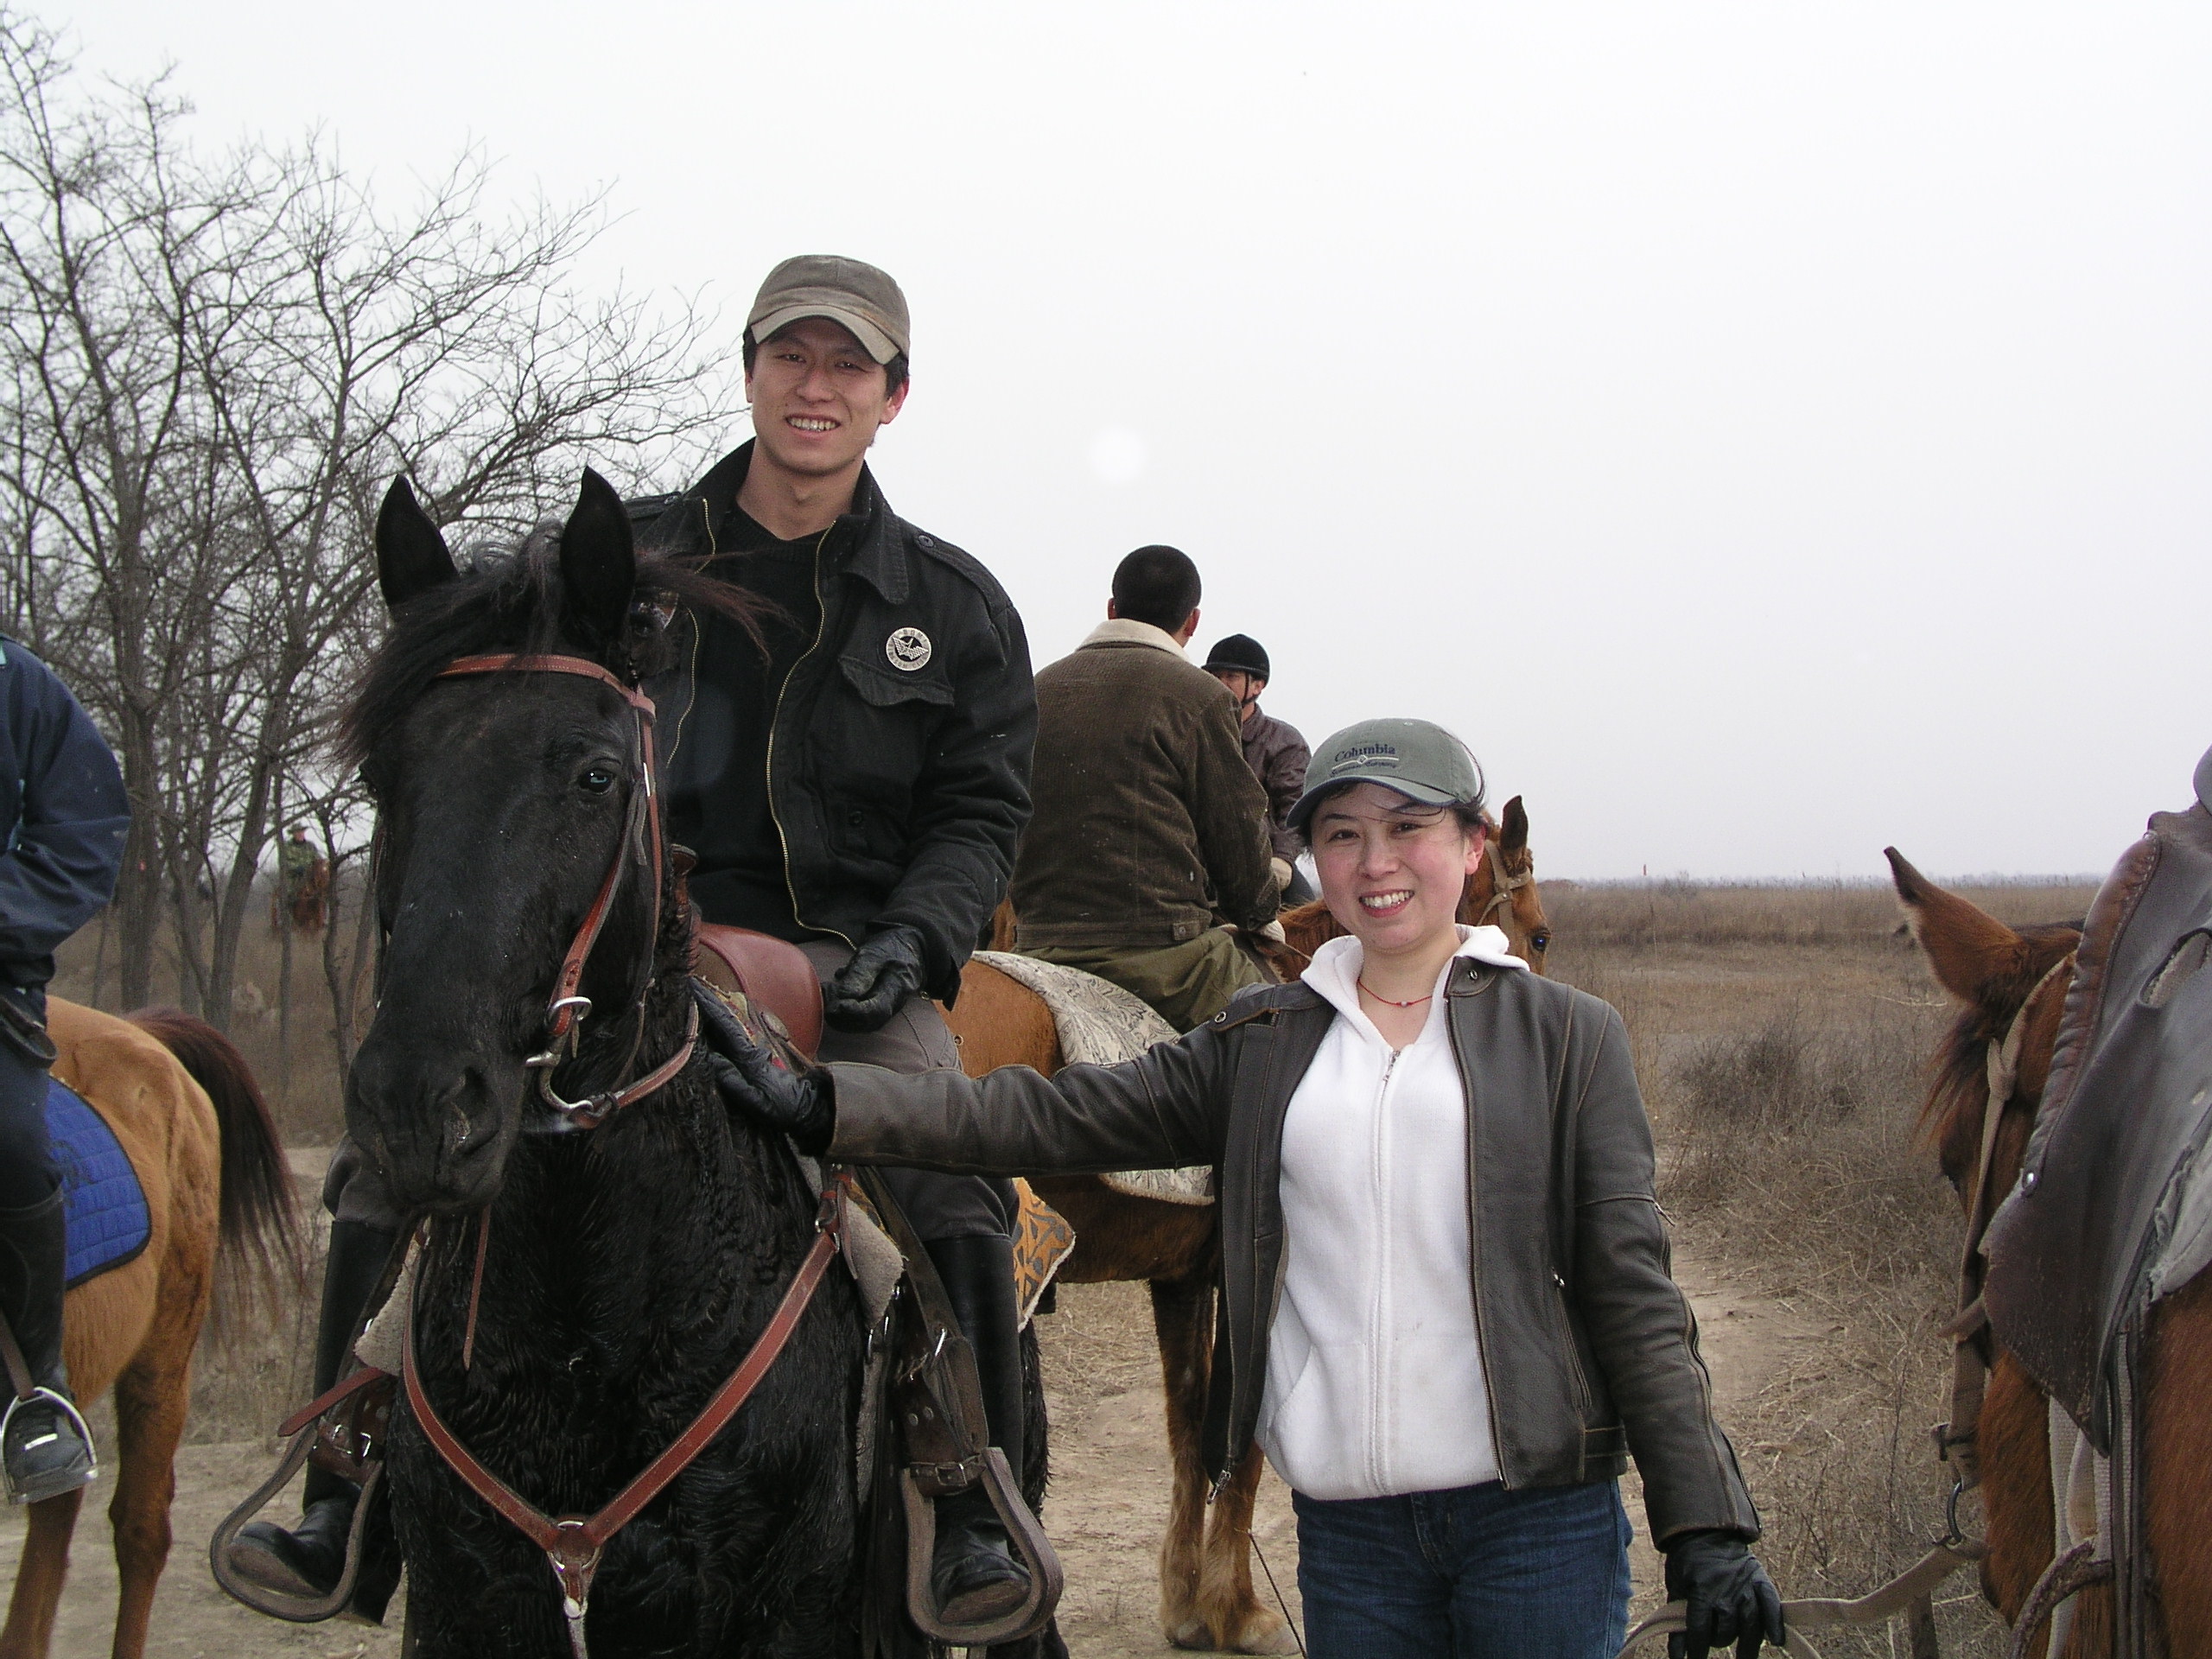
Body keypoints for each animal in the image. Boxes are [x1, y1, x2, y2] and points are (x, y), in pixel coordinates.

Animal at [349, 473, 1057, 1654]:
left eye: (595, 776)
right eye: (380, 771)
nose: (416, 1111)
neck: (589, 1329)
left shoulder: (785, 1612)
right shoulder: (462, 1605)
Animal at [942, 800, 1548, 1654]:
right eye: (1540, 935)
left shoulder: (1181, 1278)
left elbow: (1189, 1427)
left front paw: (1184, 1602)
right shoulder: (1256, 1271)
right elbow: (1246, 1436)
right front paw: (1237, 1609)